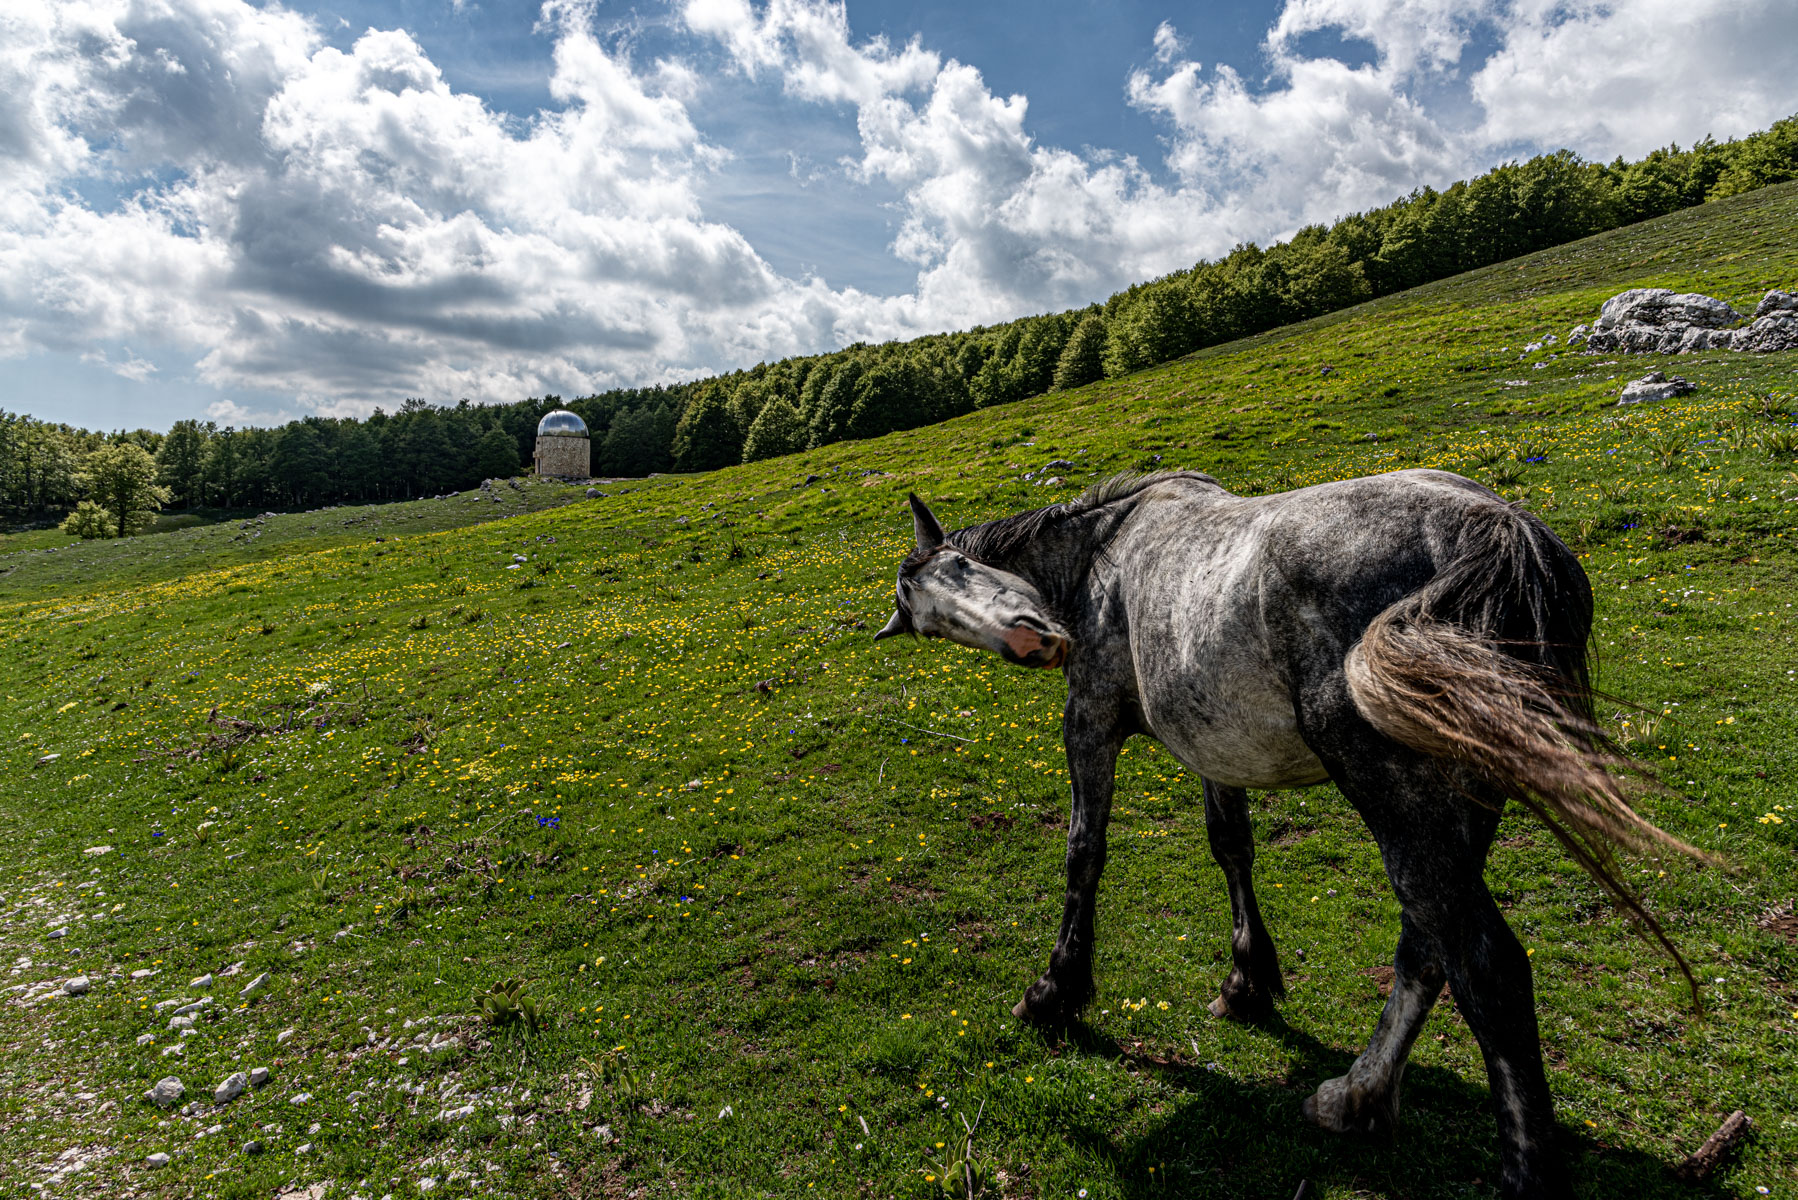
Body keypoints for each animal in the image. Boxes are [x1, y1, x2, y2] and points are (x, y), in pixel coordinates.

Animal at [874, 468, 1697, 1200]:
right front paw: (1247, 981)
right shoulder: (1211, 744)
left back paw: (1519, 1172)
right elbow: (1230, 845)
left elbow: (1084, 854)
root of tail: (1499, 530)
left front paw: (1056, 992)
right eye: (933, 623)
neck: (1105, 554)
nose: (1031, 640)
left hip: (1397, 795)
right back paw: (1356, 1098)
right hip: (1464, 799)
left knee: (1484, 964)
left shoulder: (1091, 721)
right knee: (1427, 944)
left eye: (960, 567)